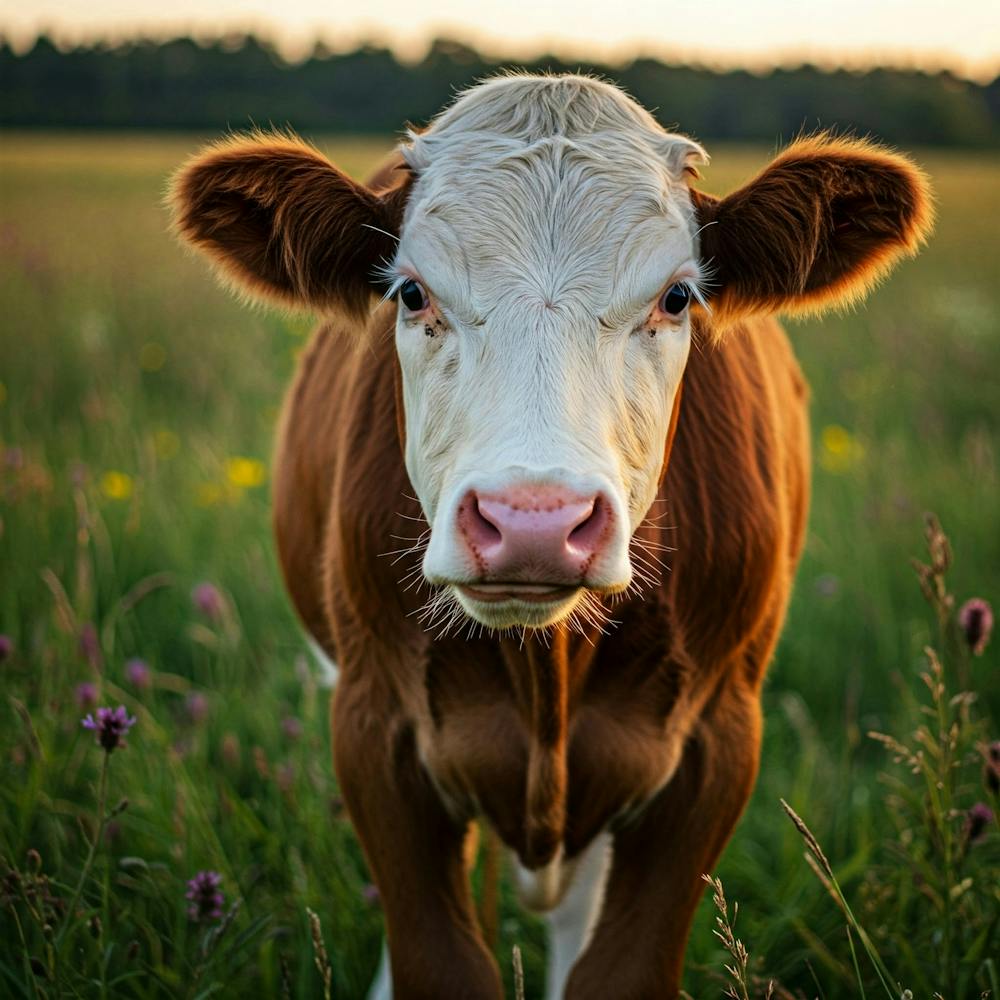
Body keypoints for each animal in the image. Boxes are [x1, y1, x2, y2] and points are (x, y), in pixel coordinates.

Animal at [170, 74, 932, 998]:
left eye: (677, 296)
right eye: (411, 293)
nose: (533, 522)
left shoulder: (717, 739)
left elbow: (619, 969)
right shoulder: (373, 723)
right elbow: (438, 961)